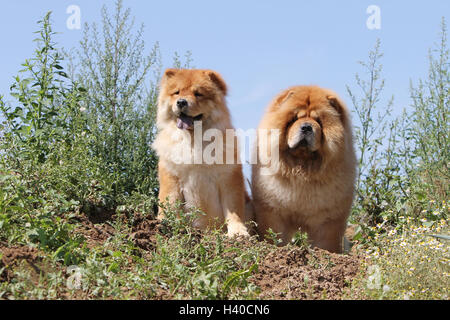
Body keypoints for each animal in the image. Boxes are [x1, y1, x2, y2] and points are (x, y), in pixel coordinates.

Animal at [153, 68, 248, 238]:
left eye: (198, 94)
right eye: (176, 92)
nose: (181, 102)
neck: (193, 140)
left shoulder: (228, 178)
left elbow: (234, 210)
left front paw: (238, 232)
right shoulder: (171, 176)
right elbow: (169, 202)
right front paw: (166, 224)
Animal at [251, 85, 356, 252]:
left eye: (318, 121)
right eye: (294, 119)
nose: (306, 127)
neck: (301, 169)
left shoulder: (329, 219)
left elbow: (326, 243)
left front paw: (326, 253)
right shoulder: (272, 211)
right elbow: (275, 234)